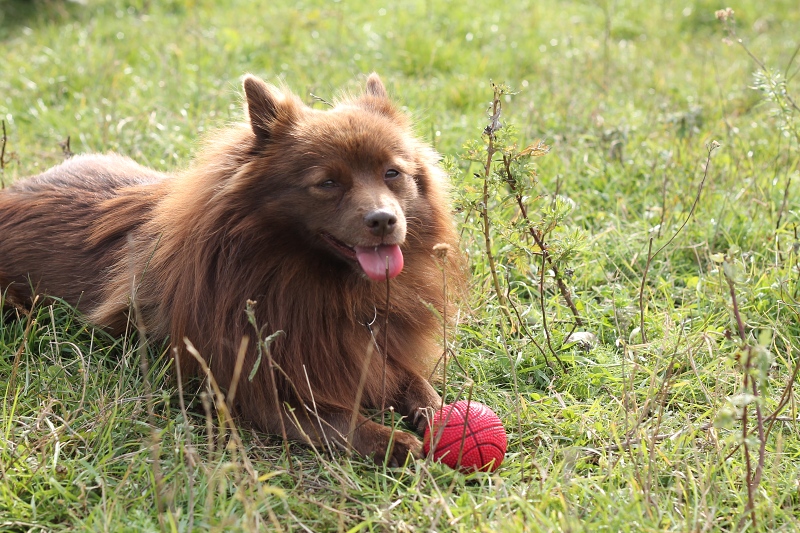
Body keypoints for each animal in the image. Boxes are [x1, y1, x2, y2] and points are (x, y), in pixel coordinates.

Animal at [0, 75, 462, 466]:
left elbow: (416, 383)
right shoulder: (255, 390)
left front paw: (437, 413)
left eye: (392, 173)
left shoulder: (378, 350)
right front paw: (395, 441)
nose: (384, 220)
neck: (325, 285)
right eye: (328, 183)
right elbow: (340, 423)